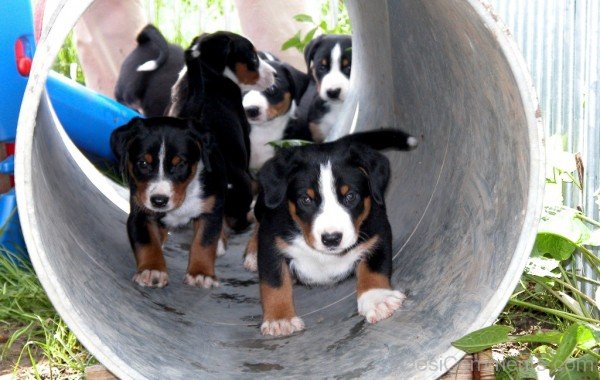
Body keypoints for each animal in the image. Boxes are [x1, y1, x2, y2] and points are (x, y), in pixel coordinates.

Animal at [110, 116, 227, 288]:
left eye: (180, 164)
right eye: (143, 163)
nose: (159, 201)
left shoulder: (210, 210)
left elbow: (204, 243)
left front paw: (201, 273)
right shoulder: (140, 214)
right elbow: (148, 243)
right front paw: (152, 270)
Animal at [246, 128, 420, 336]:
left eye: (350, 196)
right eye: (306, 199)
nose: (331, 239)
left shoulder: (378, 230)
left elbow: (374, 267)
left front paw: (378, 299)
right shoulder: (271, 239)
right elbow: (274, 282)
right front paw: (280, 319)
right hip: (264, 203)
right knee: (258, 222)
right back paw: (251, 253)